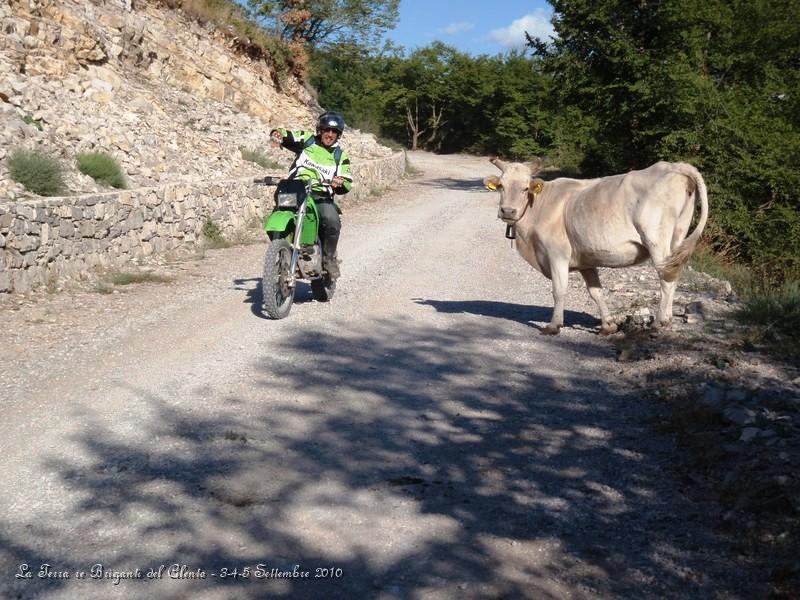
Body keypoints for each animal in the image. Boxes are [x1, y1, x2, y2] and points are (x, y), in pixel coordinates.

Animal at [484, 159, 708, 336]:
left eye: (525, 188)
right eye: (501, 186)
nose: (508, 211)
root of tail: (674, 165)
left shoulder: (556, 254)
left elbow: (559, 290)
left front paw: (554, 325)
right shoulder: (585, 260)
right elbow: (596, 292)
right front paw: (608, 325)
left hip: (657, 241)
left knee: (666, 279)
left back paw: (661, 321)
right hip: (677, 238)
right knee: (674, 274)